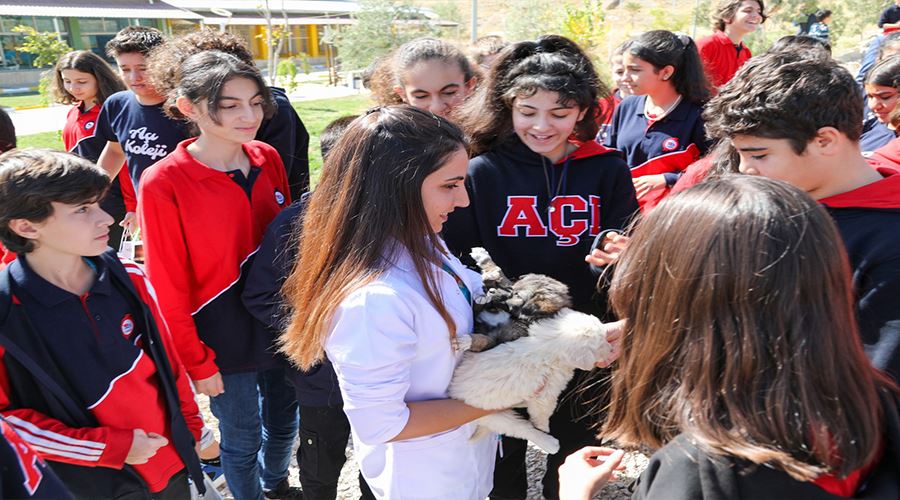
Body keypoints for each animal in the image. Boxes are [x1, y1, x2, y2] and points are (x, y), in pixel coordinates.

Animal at [448, 306, 612, 456]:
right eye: (601, 343)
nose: (611, 350)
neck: (550, 346)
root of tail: (453, 392)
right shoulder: (546, 394)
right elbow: (543, 412)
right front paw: (543, 426)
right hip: (492, 415)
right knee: (521, 428)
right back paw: (550, 443)